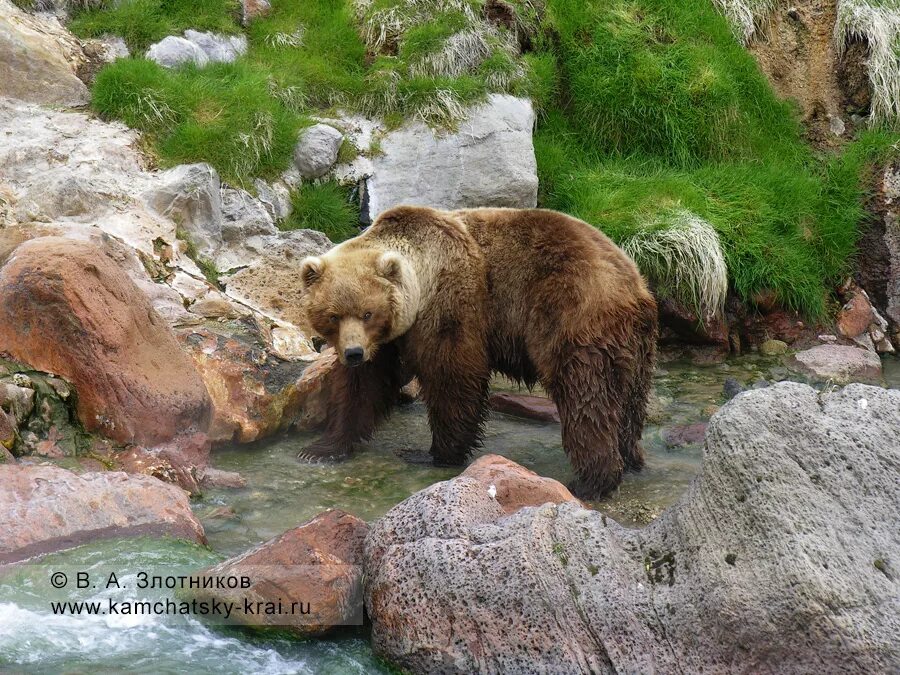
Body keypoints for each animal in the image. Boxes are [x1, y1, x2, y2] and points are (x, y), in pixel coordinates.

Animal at [298, 205, 656, 496]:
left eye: (367, 313)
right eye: (333, 315)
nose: (354, 353)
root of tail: (635, 286)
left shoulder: (451, 304)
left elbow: (453, 378)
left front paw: (436, 453)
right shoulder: (386, 342)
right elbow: (363, 388)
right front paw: (321, 448)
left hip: (574, 315)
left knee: (585, 397)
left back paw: (591, 482)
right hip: (636, 349)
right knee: (629, 401)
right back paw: (630, 458)